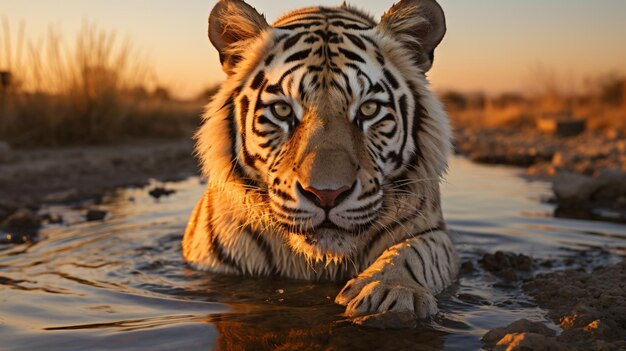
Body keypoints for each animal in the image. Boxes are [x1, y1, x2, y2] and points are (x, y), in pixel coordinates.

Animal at [182, 0, 458, 320]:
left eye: (368, 109)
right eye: (282, 110)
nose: (327, 194)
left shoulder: (433, 233)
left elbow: (414, 252)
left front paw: (391, 292)